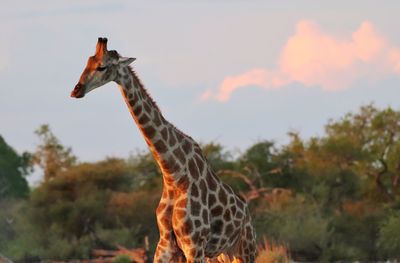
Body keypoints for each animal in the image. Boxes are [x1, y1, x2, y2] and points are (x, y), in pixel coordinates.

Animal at [71, 38, 256, 262]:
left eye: (102, 66)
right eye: (87, 63)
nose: (76, 90)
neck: (172, 174)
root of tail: (248, 214)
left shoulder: (193, 245)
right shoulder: (166, 244)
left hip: (244, 250)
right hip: (220, 254)